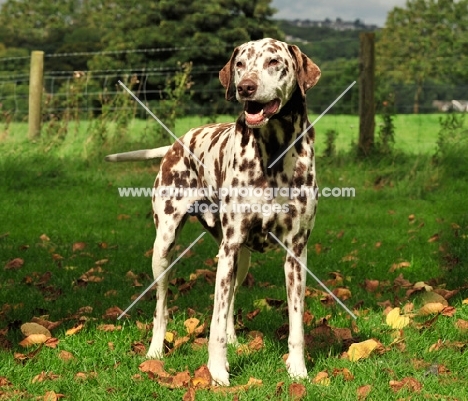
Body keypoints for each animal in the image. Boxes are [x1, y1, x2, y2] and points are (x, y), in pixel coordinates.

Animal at [106, 38, 320, 384]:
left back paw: (233, 337)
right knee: (162, 307)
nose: (246, 87)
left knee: (230, 298)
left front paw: (298, 370)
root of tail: (176, 144)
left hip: (239, 259)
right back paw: (155, 350)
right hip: (165, 248)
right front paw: (218, 371)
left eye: (274, 62)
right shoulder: (230, 247)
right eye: (240, 64)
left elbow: (296, 325)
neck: (273, 153)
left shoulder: (296, 253)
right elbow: (214, 324)